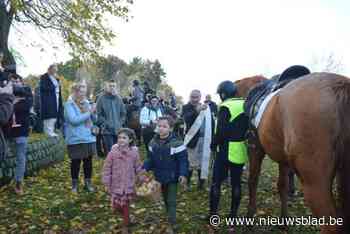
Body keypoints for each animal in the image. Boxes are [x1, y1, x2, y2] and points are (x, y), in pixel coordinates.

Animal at [235, 73, 350, 234]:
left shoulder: (255, 149)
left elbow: (253, 181)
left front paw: (249, 218)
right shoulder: (283, 160)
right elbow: (282, 186)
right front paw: (284, 221)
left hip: (315, 184)